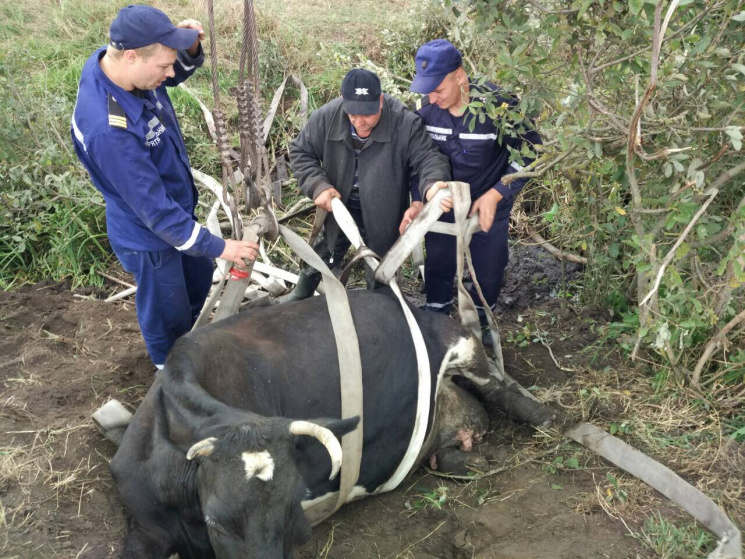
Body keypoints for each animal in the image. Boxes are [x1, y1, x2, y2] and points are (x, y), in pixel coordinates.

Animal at [110, 288, 536, 559]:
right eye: (216, 521)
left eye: (290, 511)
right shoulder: (144, 525)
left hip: (459, 340)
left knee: (496, 384)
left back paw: (541, 416)